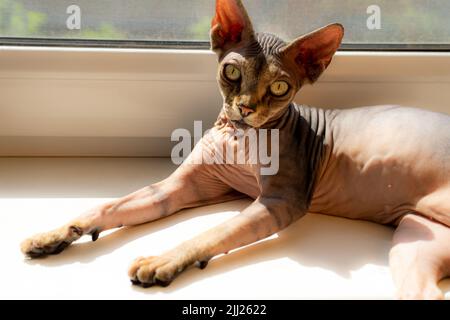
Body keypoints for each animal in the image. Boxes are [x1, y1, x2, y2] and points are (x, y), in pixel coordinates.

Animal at [21, 0, 450, 300]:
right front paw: (53, 234)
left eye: (280, 87)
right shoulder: (184, 187)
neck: (239, 138)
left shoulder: (281, 201)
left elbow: (214, 230)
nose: (245, 107)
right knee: (421, 291)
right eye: (231, 71)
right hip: (416, 237)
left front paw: (164, 260)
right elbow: (110, 206)